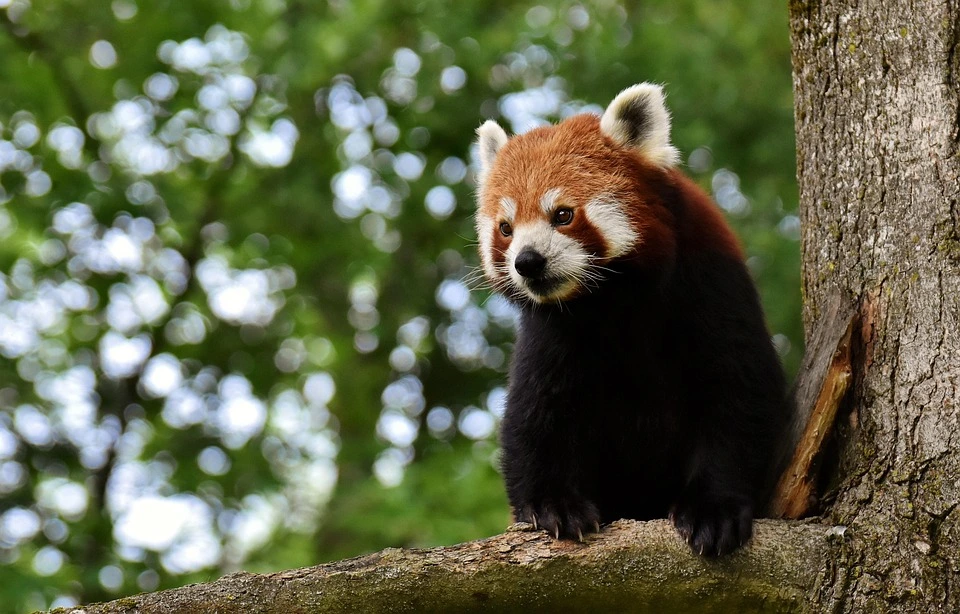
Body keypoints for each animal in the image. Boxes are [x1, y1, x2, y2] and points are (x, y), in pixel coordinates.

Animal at [473, 83, 790, 556]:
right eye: (506, 228)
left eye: (562, 214)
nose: (527, 262)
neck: (612, 301)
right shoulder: (552, 331)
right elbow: (535, 414)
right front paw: (554, 505)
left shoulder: (711, 285)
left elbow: (739, 393)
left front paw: (713, 509)